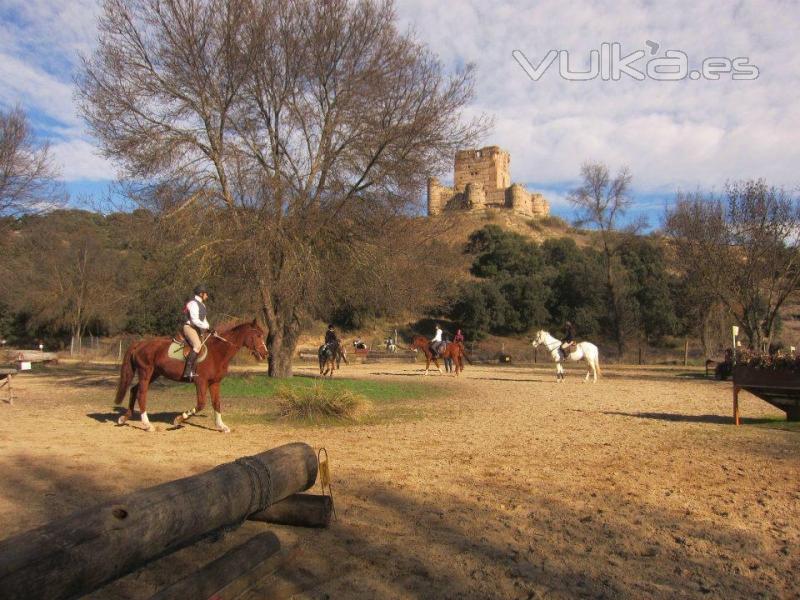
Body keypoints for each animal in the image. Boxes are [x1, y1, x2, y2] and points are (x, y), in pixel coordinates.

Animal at [114, 318, 268, 432]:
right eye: (258, 335)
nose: (265, 353)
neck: (218, 352)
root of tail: (140, 344)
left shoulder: (215, 383)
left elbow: (216, 403)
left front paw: (221, 426)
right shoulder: (201, 382)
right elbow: (201, 404)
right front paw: (178, 420)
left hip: (154, 373)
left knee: (134, 390)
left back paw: (124, 418)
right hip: (146, 372)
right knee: (141, 394)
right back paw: (147, 425)